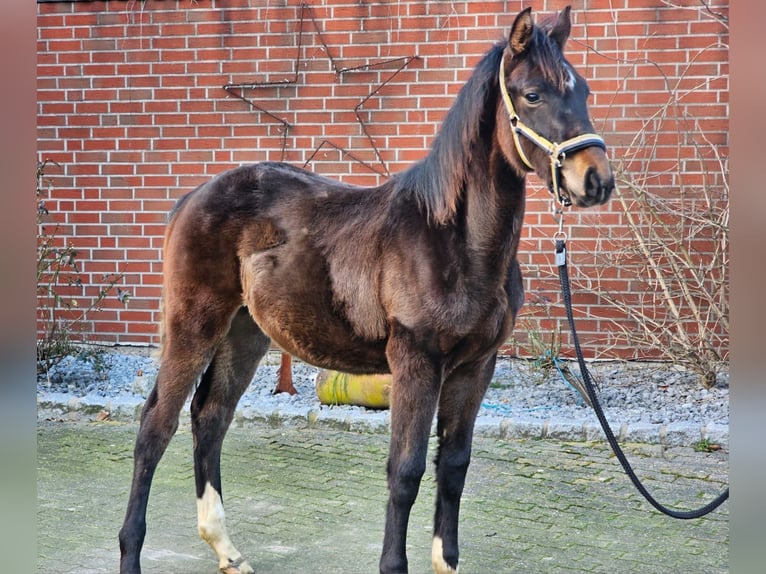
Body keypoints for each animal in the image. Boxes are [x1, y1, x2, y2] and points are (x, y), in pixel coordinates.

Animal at [117, 5, 616, 574]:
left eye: (584, 91)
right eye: (532, 94)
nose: (596, 179)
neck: (454, 240)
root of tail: (193, 197)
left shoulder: (475, 368)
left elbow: (454, 465)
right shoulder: (416, 362)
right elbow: (406, 471)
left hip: (245, 333)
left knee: (210, 417)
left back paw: (227, 550)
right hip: (194, 326)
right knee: (156, 427)